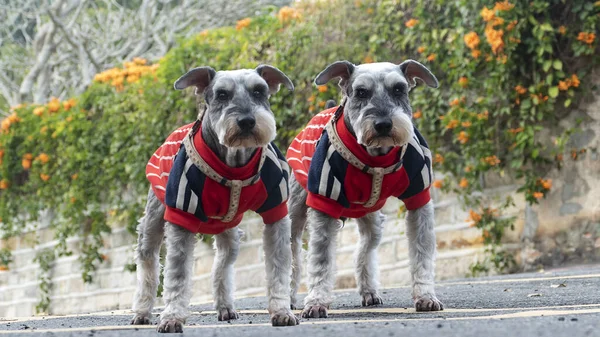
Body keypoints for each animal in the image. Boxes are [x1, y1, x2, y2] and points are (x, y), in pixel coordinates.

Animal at [132, 65, 300, 330]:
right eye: (221, 94)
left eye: (259, 91)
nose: (247, 121)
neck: (234, 164)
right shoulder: (181, 218)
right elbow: (177, 275)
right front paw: (172, 317)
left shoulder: (276, 214)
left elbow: (278, 268)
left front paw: (282, 311)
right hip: (153, 222)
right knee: (147, 261)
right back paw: (142, 311)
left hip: (229, 231)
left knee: (222, 264)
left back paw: (225, 307)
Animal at [286, 59, 446, 316]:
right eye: (361, 92)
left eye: (399, 89)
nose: (383, 124)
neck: (376, 156)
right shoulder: (323, 204)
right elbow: (320, 259)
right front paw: (316, 302)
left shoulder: (419, 197)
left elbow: (421, 253)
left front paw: (425, 296)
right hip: (295, 213)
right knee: (291, 256)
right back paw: (288, 298)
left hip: (372, 220)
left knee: (363, 251)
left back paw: (369, 291)